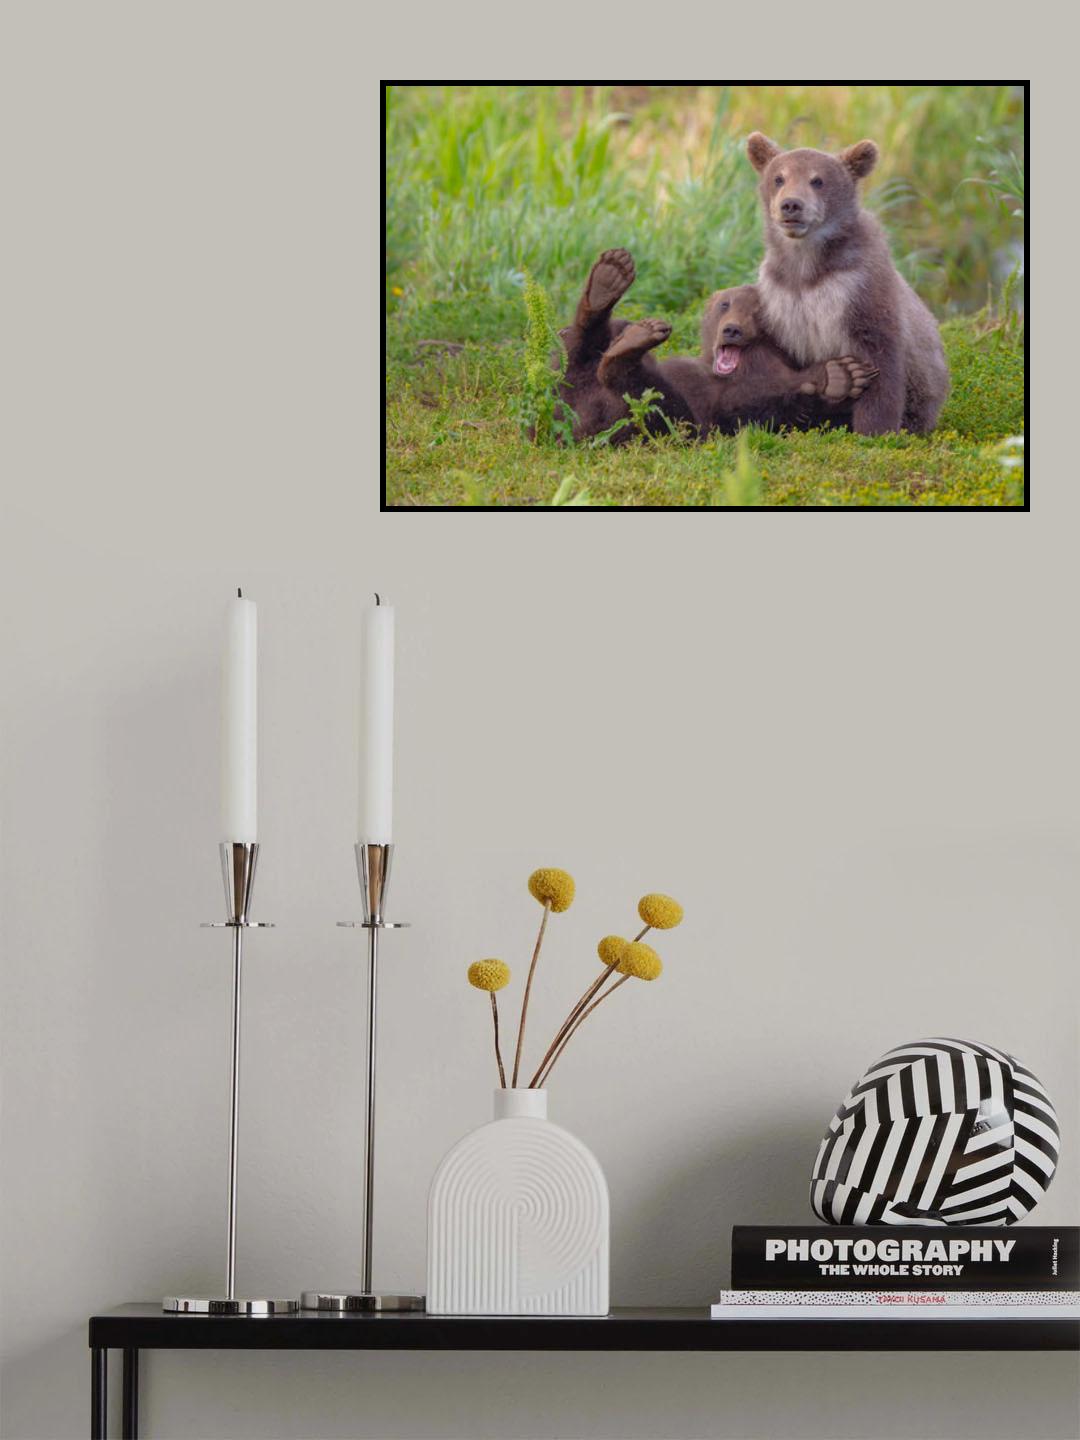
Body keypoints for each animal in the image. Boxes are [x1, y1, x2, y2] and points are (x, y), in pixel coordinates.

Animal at [557, 250, 875, 442]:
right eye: (726, 304)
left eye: (759, 312)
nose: (732, 329)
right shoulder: (692, 372)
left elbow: (751, 410)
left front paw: (839, 376)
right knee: (576, 354)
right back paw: (609, 280)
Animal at [746, 133, 950, 436]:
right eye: (779, 178)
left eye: (817, 180)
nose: (791, 205)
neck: (807, 268)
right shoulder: (781, 299)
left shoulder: (857, 288)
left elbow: (879, 360)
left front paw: (874, 429)